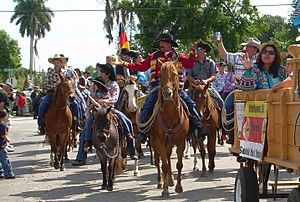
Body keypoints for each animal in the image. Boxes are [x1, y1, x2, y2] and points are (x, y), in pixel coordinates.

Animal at [151, 61, 189, 197]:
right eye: (160, 75)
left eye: (174, 74)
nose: (167, 93)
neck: (170, 116)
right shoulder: (160, 142)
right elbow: (164, 166)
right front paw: (165, 190)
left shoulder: (181, 142)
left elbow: (179, 164)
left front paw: (179, 187)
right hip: (155, 143)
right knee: (158, 160)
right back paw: (160, 182)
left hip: (170, 144)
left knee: (167, 157)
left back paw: (171, 180)